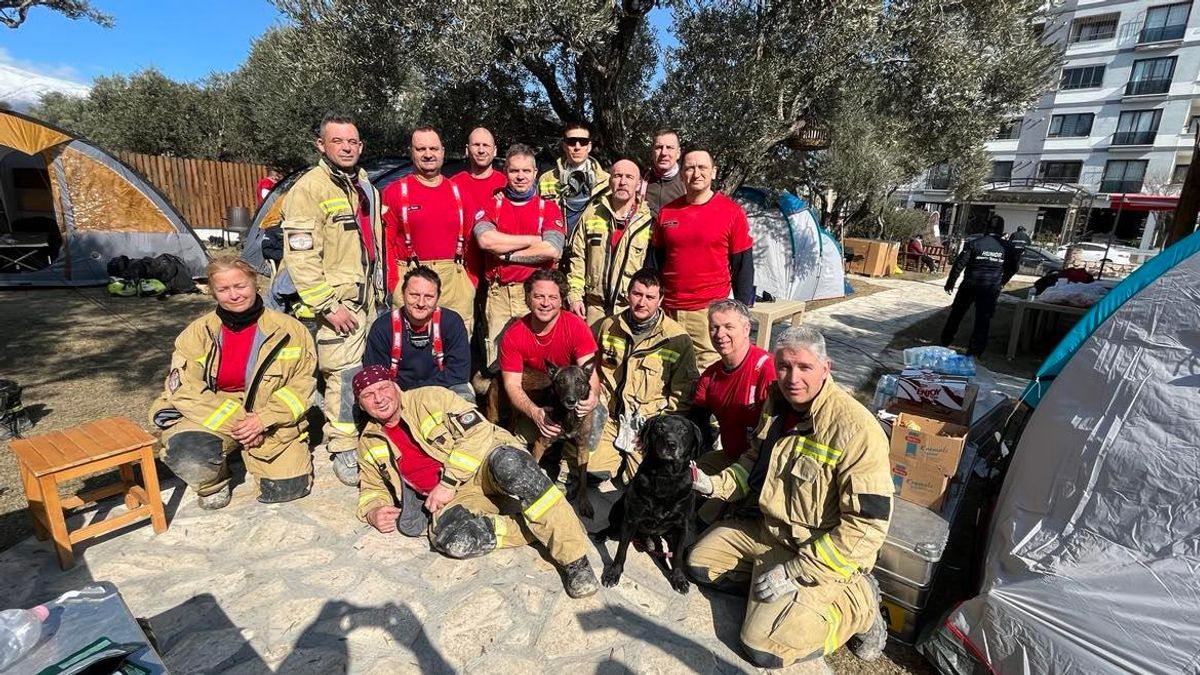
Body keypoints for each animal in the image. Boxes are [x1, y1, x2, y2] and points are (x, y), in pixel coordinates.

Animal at [592, 413, 700, 590]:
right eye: (660, 428)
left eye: (683, 430)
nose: (671, 444)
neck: (665, 475)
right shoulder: (631, 520)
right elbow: (621, 551)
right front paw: (613, 573)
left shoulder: (681, 527)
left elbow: (677, 556)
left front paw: (678, 578)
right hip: (618, 507)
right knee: (613, 526)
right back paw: (603, 534)